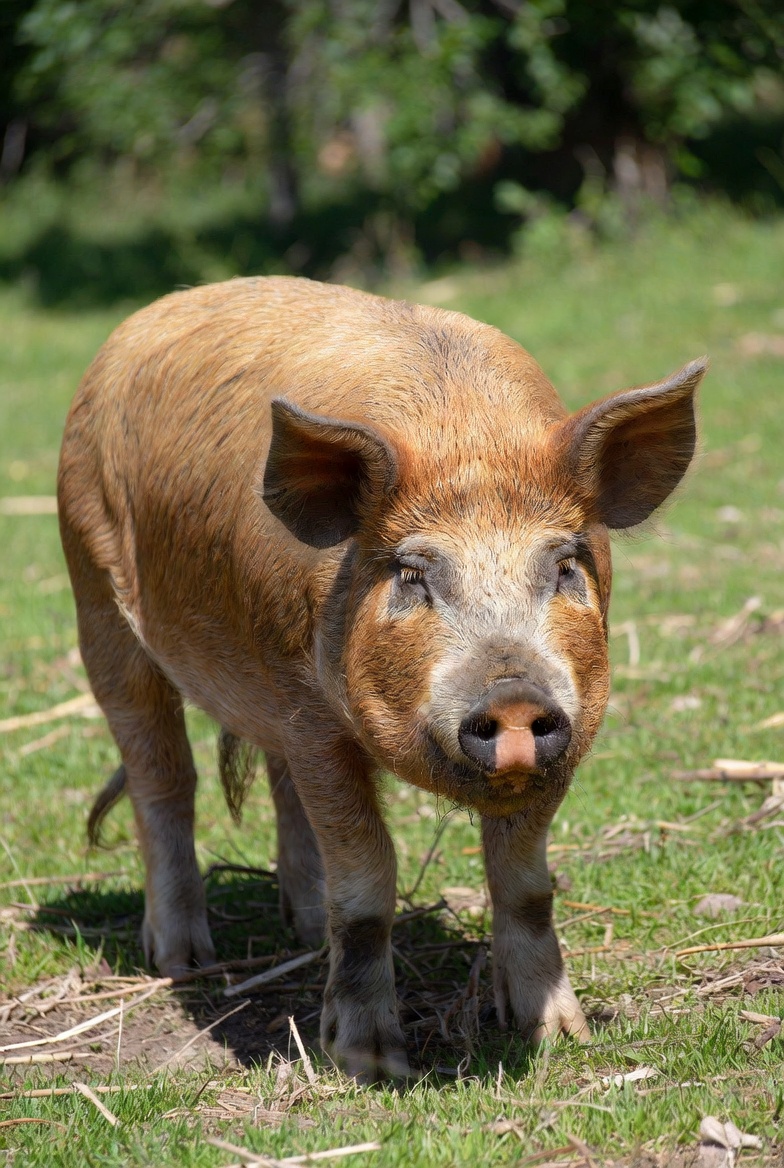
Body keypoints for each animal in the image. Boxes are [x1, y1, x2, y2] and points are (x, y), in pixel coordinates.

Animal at [57, 276, 706, 1079]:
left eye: (563, 566)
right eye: (410, 573)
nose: (514, 696)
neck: (465, 438)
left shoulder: (570, 729)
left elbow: (525, 883)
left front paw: (557, 1036)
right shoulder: (313, 718)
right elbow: (367, 882)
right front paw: (369, 1063)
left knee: (281, 792)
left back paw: (305, 933)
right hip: (96, 597)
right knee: (163, 778)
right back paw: (184, 963)